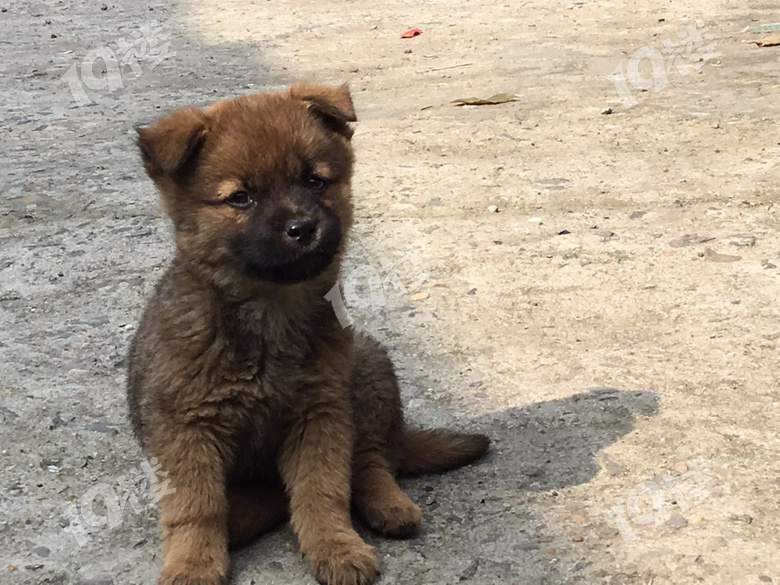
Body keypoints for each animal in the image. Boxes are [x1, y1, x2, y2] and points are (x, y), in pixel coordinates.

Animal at [127, 83, 490, 584]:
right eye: (240, 198)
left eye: (315, 181)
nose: (303, 228)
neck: (270, 311)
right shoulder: (185, 428)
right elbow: (197, 507)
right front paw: (193, 563)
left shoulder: (320, 413)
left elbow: (323, 491)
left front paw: (335, 546)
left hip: (368, 366)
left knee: (372, 461)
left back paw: (387, 504)